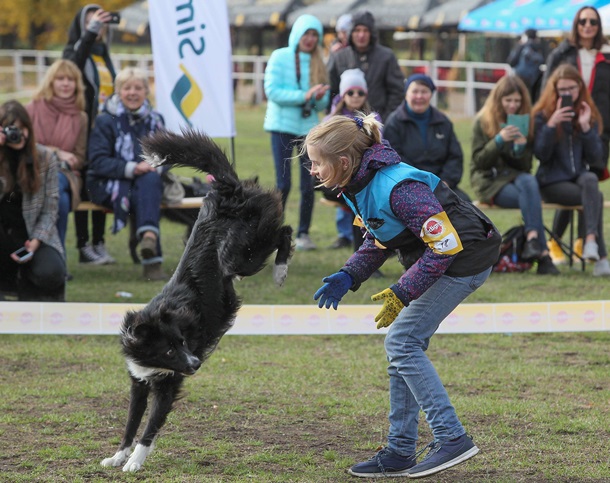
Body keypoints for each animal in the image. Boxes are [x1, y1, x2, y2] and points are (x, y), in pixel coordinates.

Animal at [101, 130, 294, 472]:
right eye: (169, 348)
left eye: (182, 342)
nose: (196, 363)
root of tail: (225, 188)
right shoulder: (139, 381)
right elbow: (130, 422)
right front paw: (118, 455)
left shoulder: (169, 385)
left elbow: (149, 426)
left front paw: (135, 461)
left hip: (241, 255)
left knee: (284, 231)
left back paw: (281, 270)